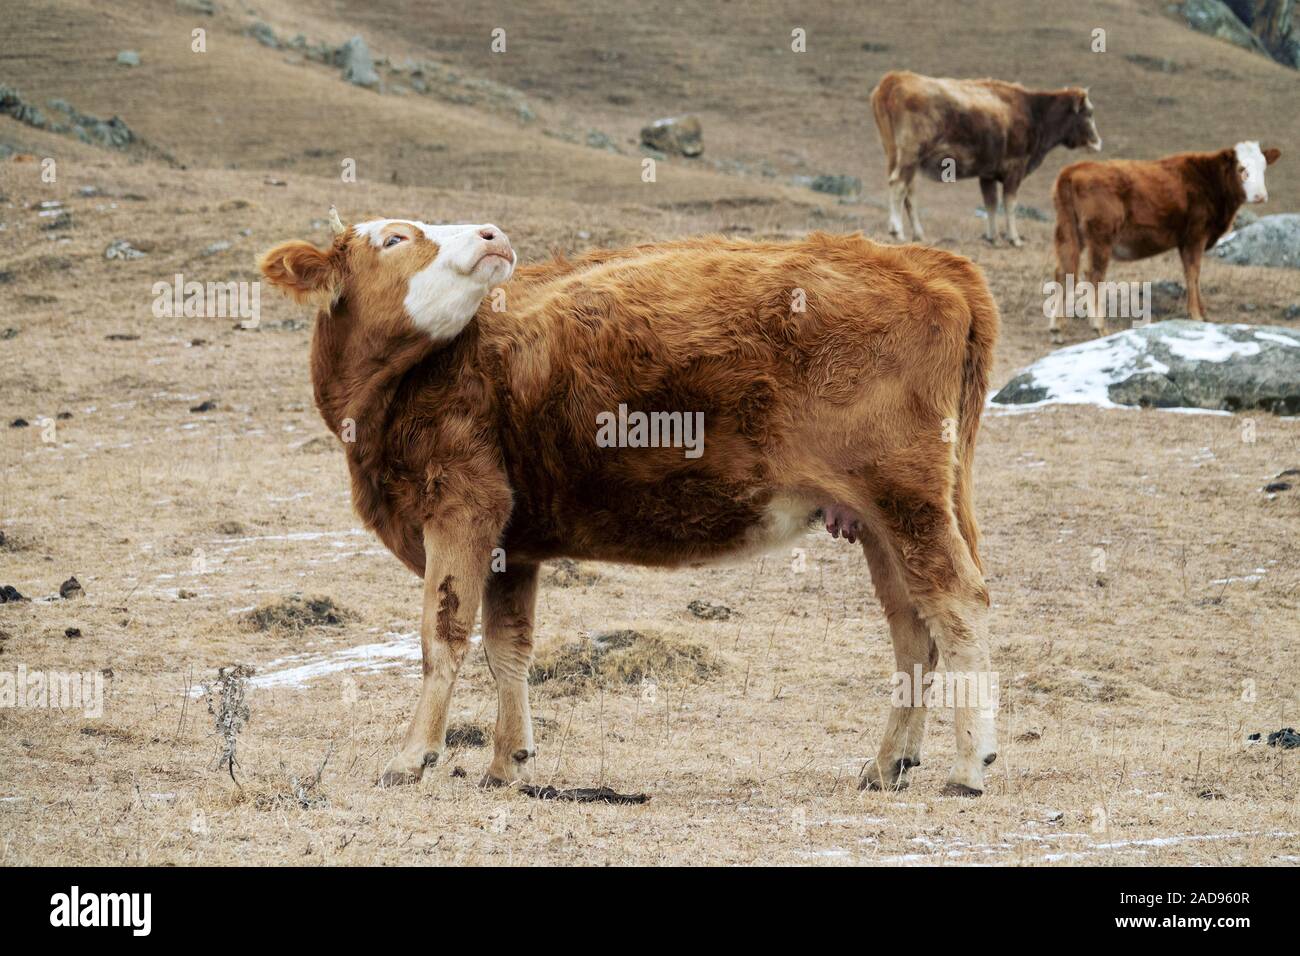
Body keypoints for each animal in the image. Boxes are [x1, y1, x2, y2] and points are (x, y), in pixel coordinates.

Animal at [258, 210, 1002, 797]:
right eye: (394, 238)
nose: (492, 233)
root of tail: (923, 261)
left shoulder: (462, 511)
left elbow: (442, 637)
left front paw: (413, 756)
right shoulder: (511, 547)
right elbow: (508, 648)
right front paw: (506, 762)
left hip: (906, 500)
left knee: (959, 608)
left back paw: (969, 765)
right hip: (879, 519)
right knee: (913, 630)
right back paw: (888, 762)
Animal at [870, 70, 1102, 246]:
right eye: (1089, 113)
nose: (1098, 142)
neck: (1033, 110)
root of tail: (895, 79)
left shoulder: (987, 173)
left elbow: (990, 202)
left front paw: (993, 237)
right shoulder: (1014, 168)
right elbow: (1009, 203)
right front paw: (1014, 238)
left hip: (895, 154)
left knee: (909, 192)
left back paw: (918, 233)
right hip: (910, 155)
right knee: (898, 185)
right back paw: (897, 230)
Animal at [1048, 142, 1282, 341]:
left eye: (1264, 167)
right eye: (1242, 168)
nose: (1260, 196)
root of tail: (1074, 170)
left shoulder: (1186, 240)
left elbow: (1193, 274)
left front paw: (1203, 313)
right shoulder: (1195, 235)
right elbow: (1193, 272)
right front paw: (1196, 314)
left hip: (1068, 232)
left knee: (1064, 272)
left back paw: (1057, 328)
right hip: (1101, 236)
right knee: (1093, 275)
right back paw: (1099, 327)